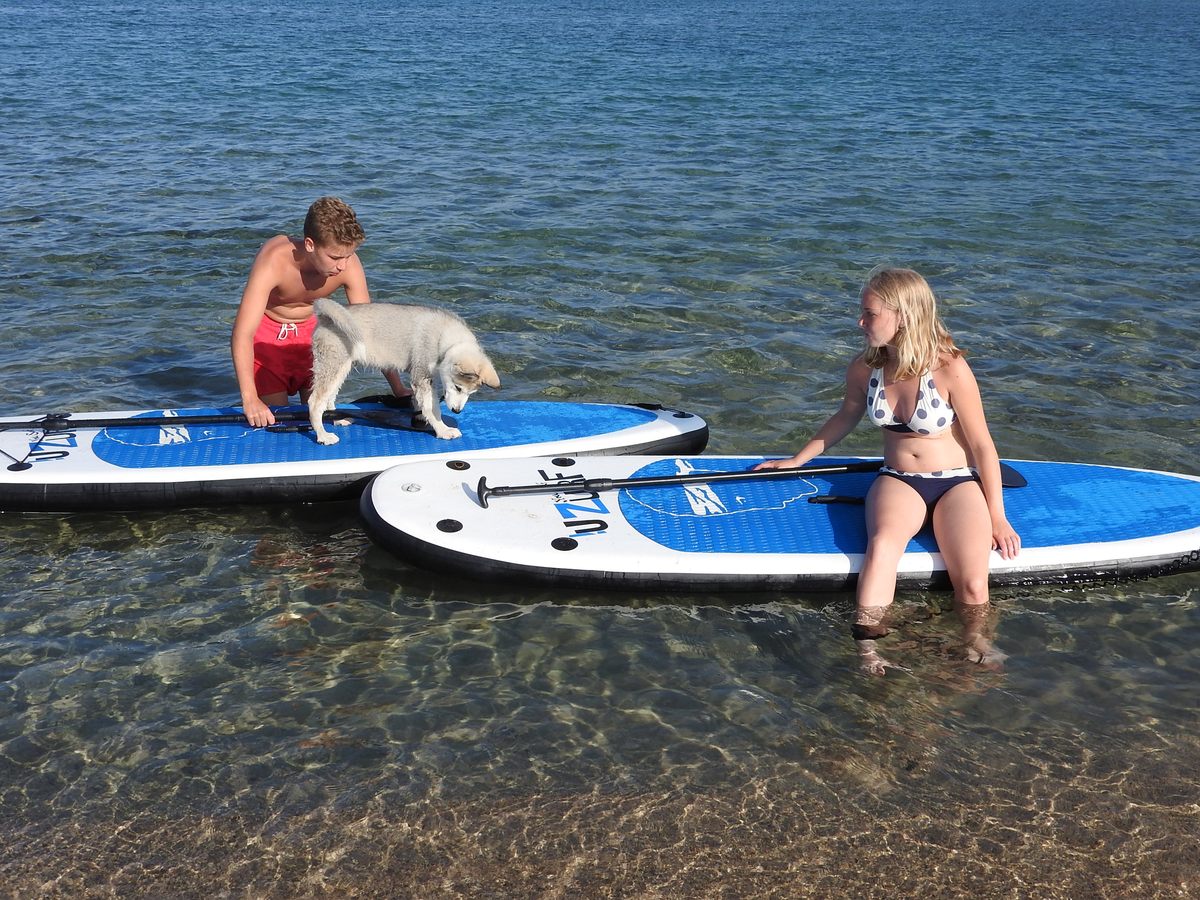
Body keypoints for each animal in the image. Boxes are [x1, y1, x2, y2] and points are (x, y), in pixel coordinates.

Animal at [308, 299, 500, 444]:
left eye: (471, 393)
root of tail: (325, 317)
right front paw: (443, 430)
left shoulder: (422, 378)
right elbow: (433, 408)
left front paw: (421, 416)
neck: (444, 338)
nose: (457, 412)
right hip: (333, 364)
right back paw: (323, 435)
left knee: (329, 397)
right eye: (458, 388)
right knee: (315, 402)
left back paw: (337, 418)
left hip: (340, 367)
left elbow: (421, 402)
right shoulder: (421, 376)